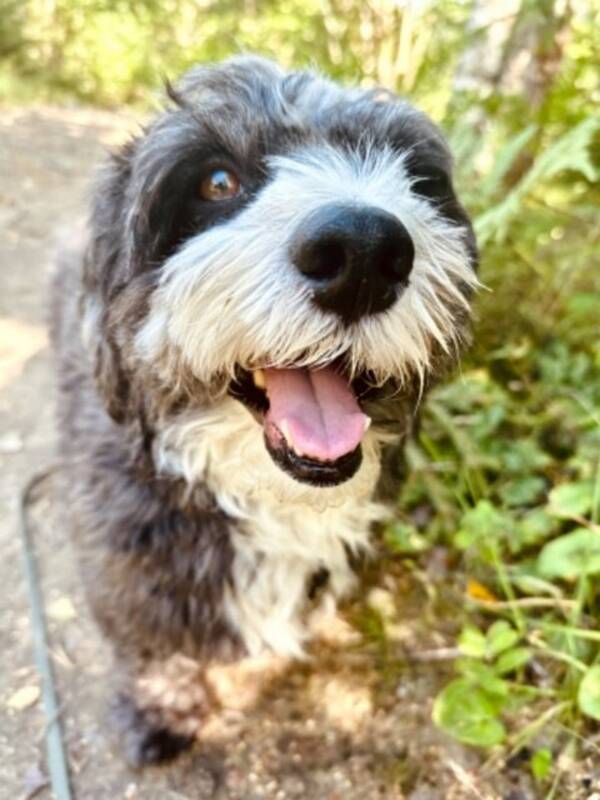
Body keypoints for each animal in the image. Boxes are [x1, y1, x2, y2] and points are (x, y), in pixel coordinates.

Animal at [49, 53, 478, 764]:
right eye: (217, 180)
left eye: (414, 178)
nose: (364, 251)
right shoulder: (128, 559)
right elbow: (153, 642)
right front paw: (165, 708)